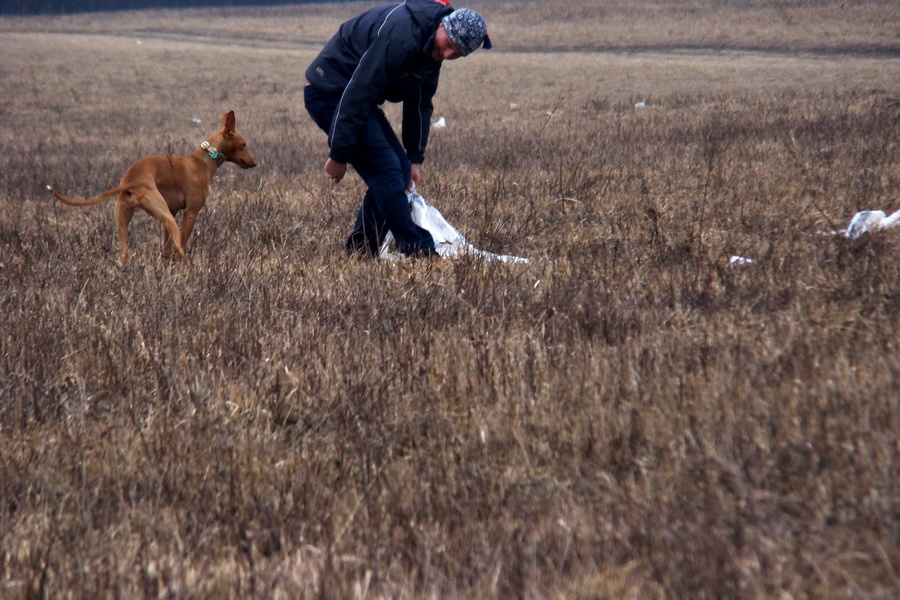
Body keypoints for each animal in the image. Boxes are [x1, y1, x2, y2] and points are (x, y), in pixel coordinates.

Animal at [49, 110, 256, 264]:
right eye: (243, 144)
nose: (254, 163)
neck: (202, 161)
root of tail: (131, 180)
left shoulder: (172, 212)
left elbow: (166, 249)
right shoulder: (189, 213)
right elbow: (181, 245)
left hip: (125, 221)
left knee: (125, 253)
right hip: (165, 217)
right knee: (181, 250)